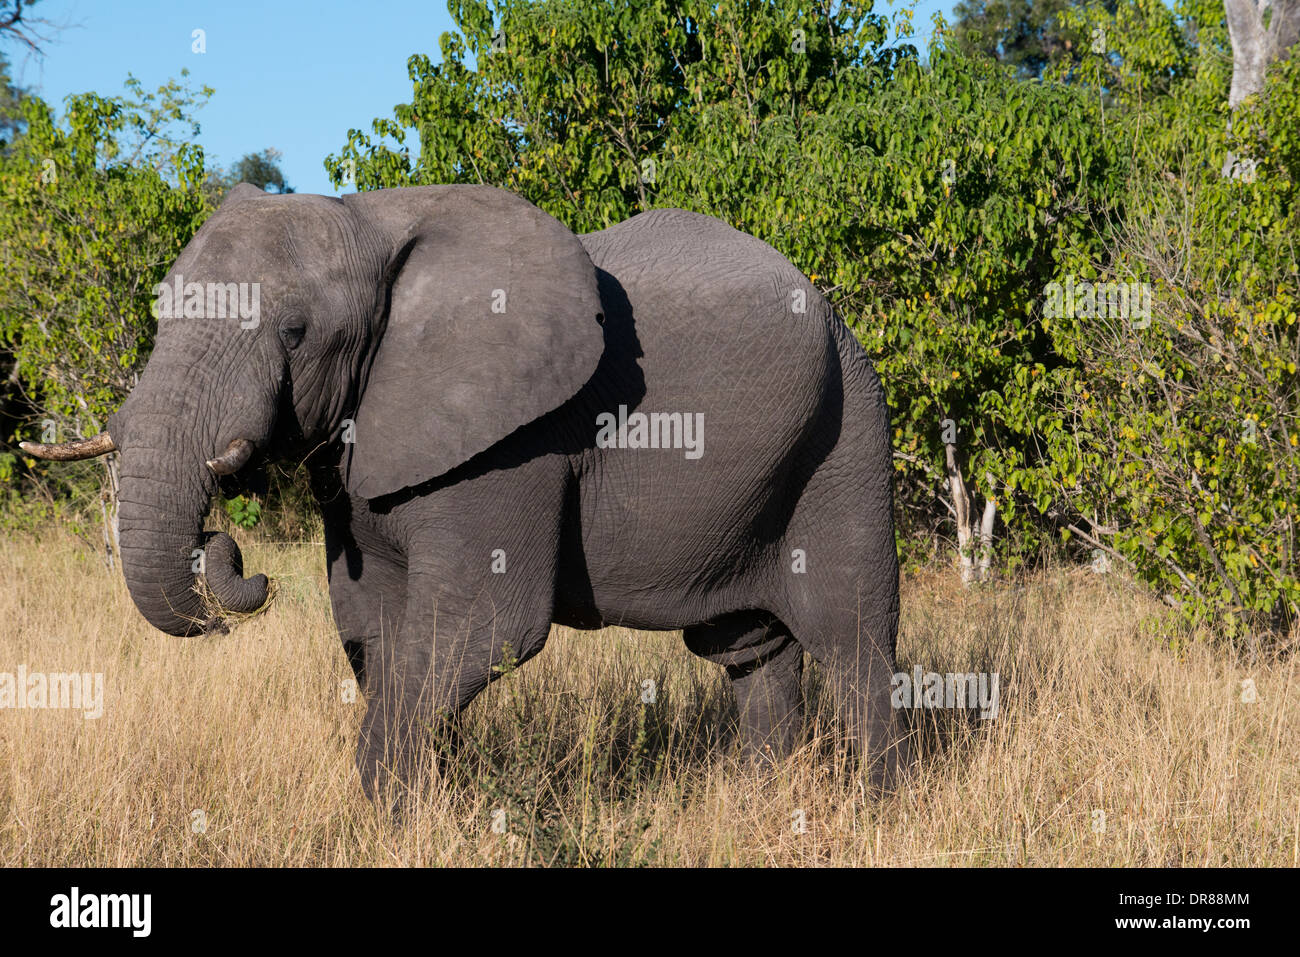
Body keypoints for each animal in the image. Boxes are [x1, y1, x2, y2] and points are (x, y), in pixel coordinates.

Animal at [22, 183, 915, 795]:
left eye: (295, 334)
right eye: (161, 311)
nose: (234, 557)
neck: (371, 223)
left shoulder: (513, 440)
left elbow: (482, 627)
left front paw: (386, 801)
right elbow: (374, 626)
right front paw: (420, 809)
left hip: (850, 429)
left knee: (854, 642)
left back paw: (874, 807)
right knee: (751, 651)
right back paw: (764, 799)